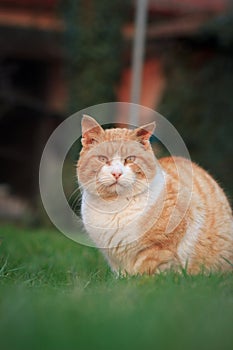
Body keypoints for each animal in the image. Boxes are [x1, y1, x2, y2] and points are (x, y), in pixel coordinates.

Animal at [77, 116, 233, 274]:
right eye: (103, 159)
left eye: (130, 159)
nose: (116, 173)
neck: (115, 205)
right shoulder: (115, 259)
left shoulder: (158, 247)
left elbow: (145, 271)